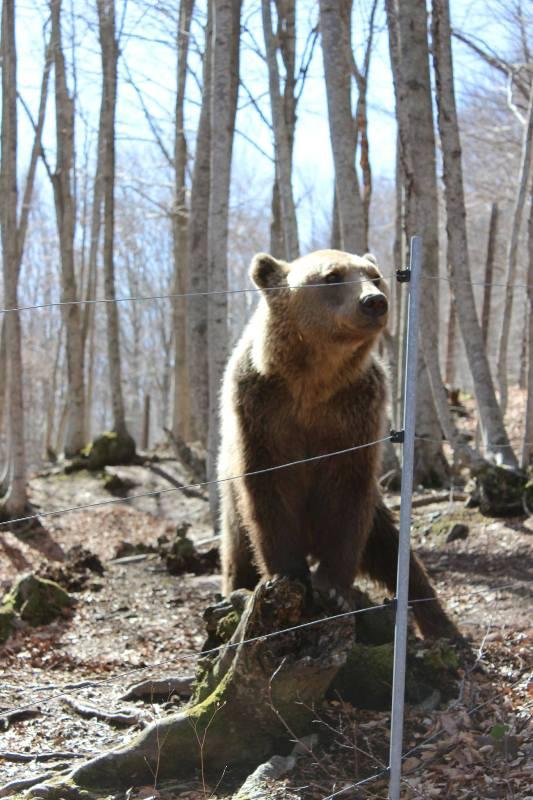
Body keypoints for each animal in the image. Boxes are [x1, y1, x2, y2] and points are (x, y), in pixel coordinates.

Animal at [218, 250, 456, 636]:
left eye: (374, 275)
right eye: (332, 276)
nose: (374, 301)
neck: (313, 381)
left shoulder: (354, 413)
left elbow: (346, 494)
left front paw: (333, 590)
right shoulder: (262, 411)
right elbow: (269, 488)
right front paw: (288, 575)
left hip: (376, 513)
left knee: (392, 549)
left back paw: (441, 626)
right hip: (231, 507)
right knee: (237, 551)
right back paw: (233, 593)